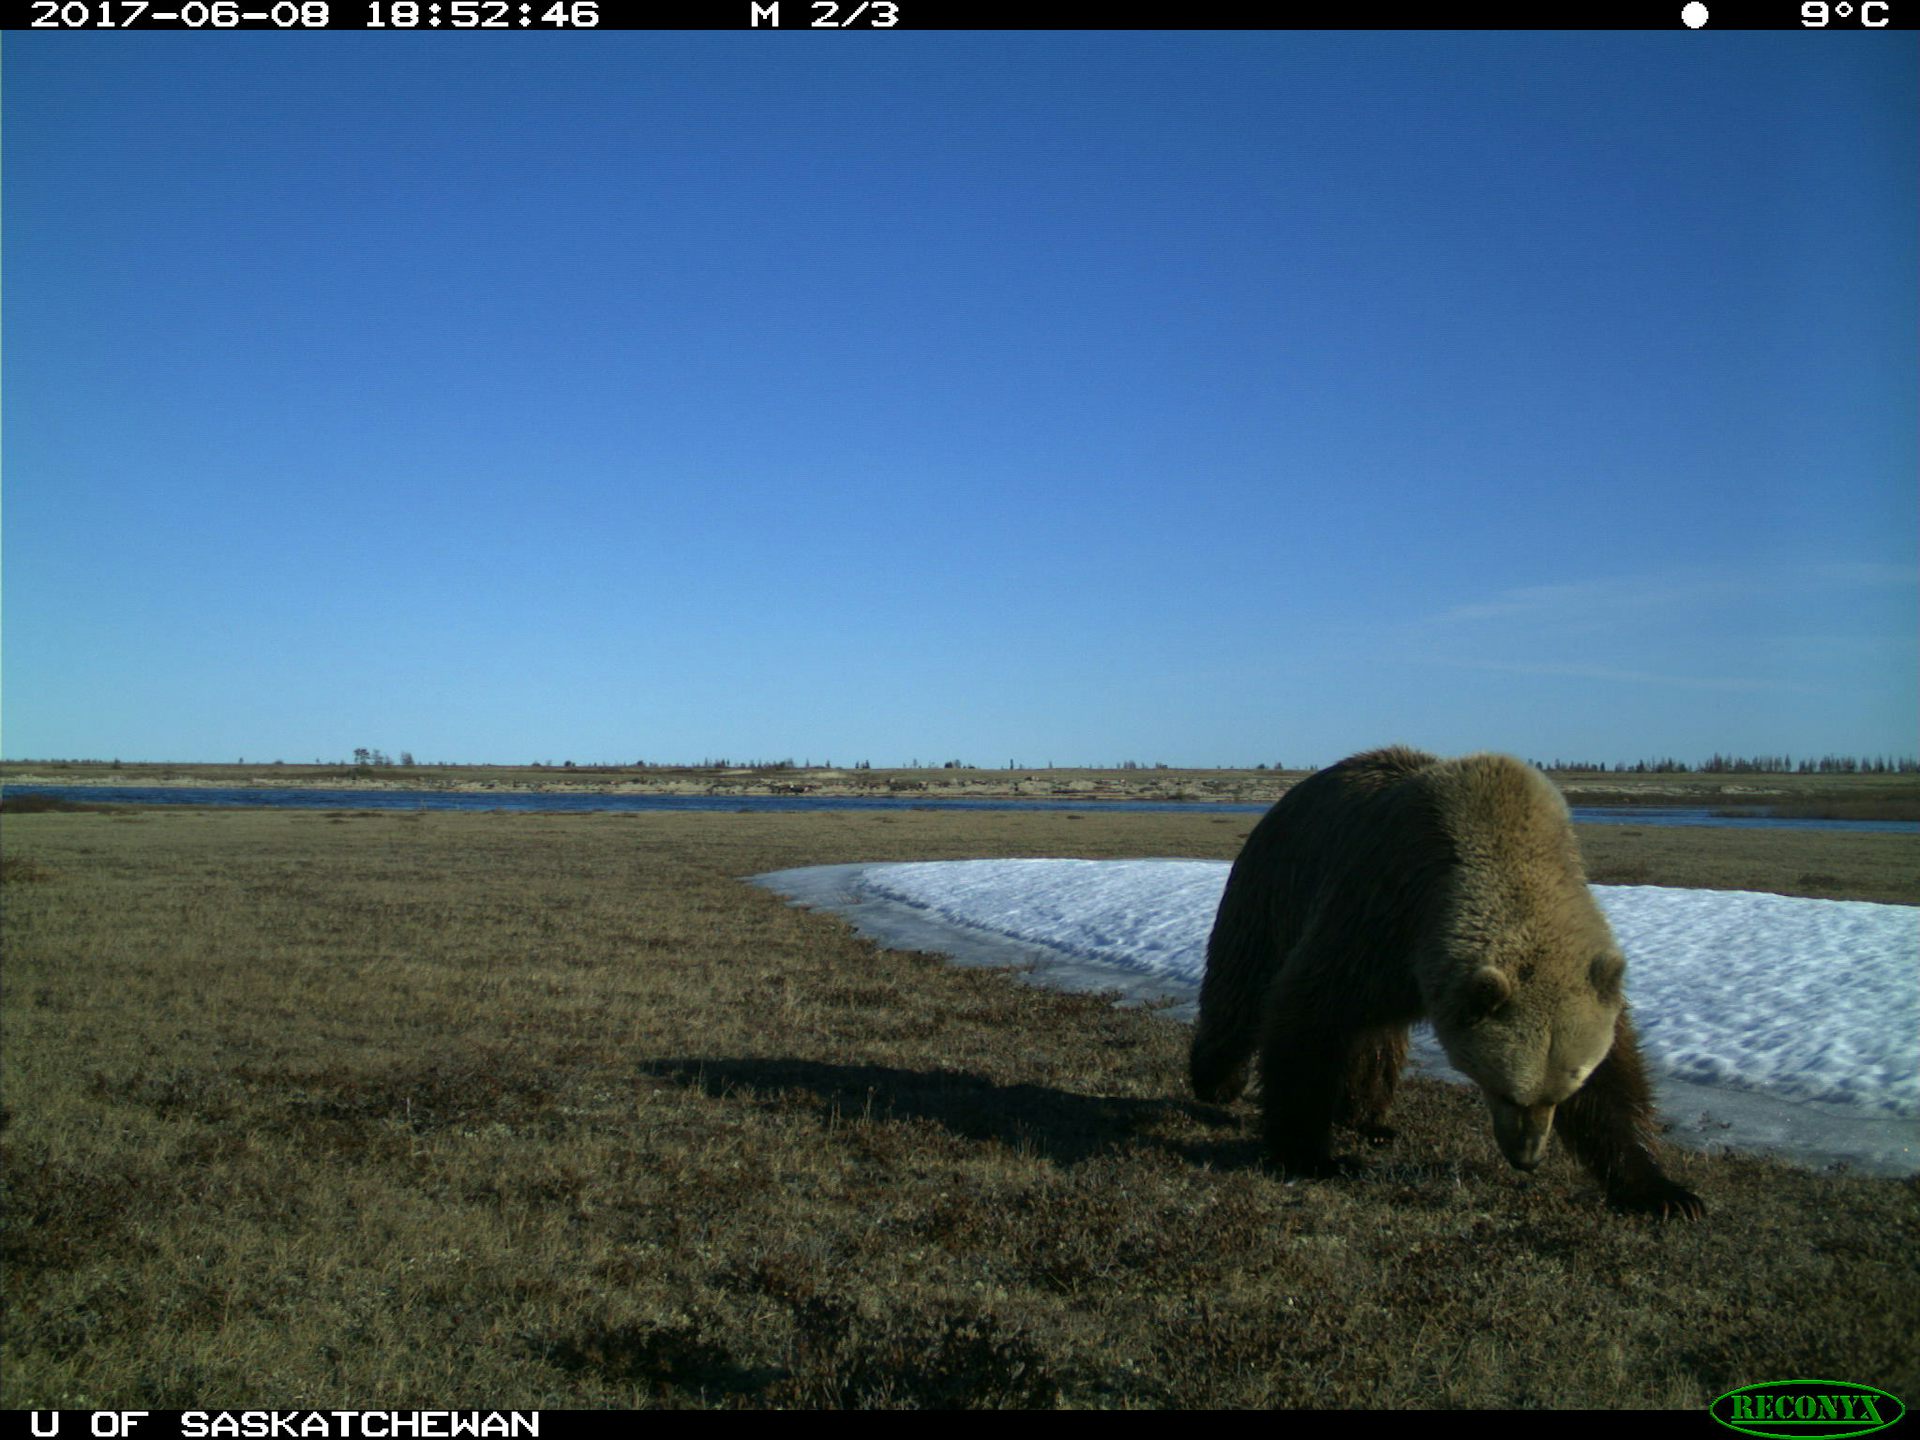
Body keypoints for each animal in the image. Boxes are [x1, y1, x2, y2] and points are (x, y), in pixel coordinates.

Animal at [1190, 746, 1704, 1219]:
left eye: (1565, 1088)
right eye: (1505, 1089)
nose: (1528, 1158)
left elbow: (1618, 1083)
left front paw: (1665, 1193)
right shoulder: (1377, 917)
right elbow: (1309, 1015)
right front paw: (1310, 1155)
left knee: (1376, 1040)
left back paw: (1370, 1119)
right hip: (1270, 892)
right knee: (1239, 988)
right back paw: (1216, 1081)